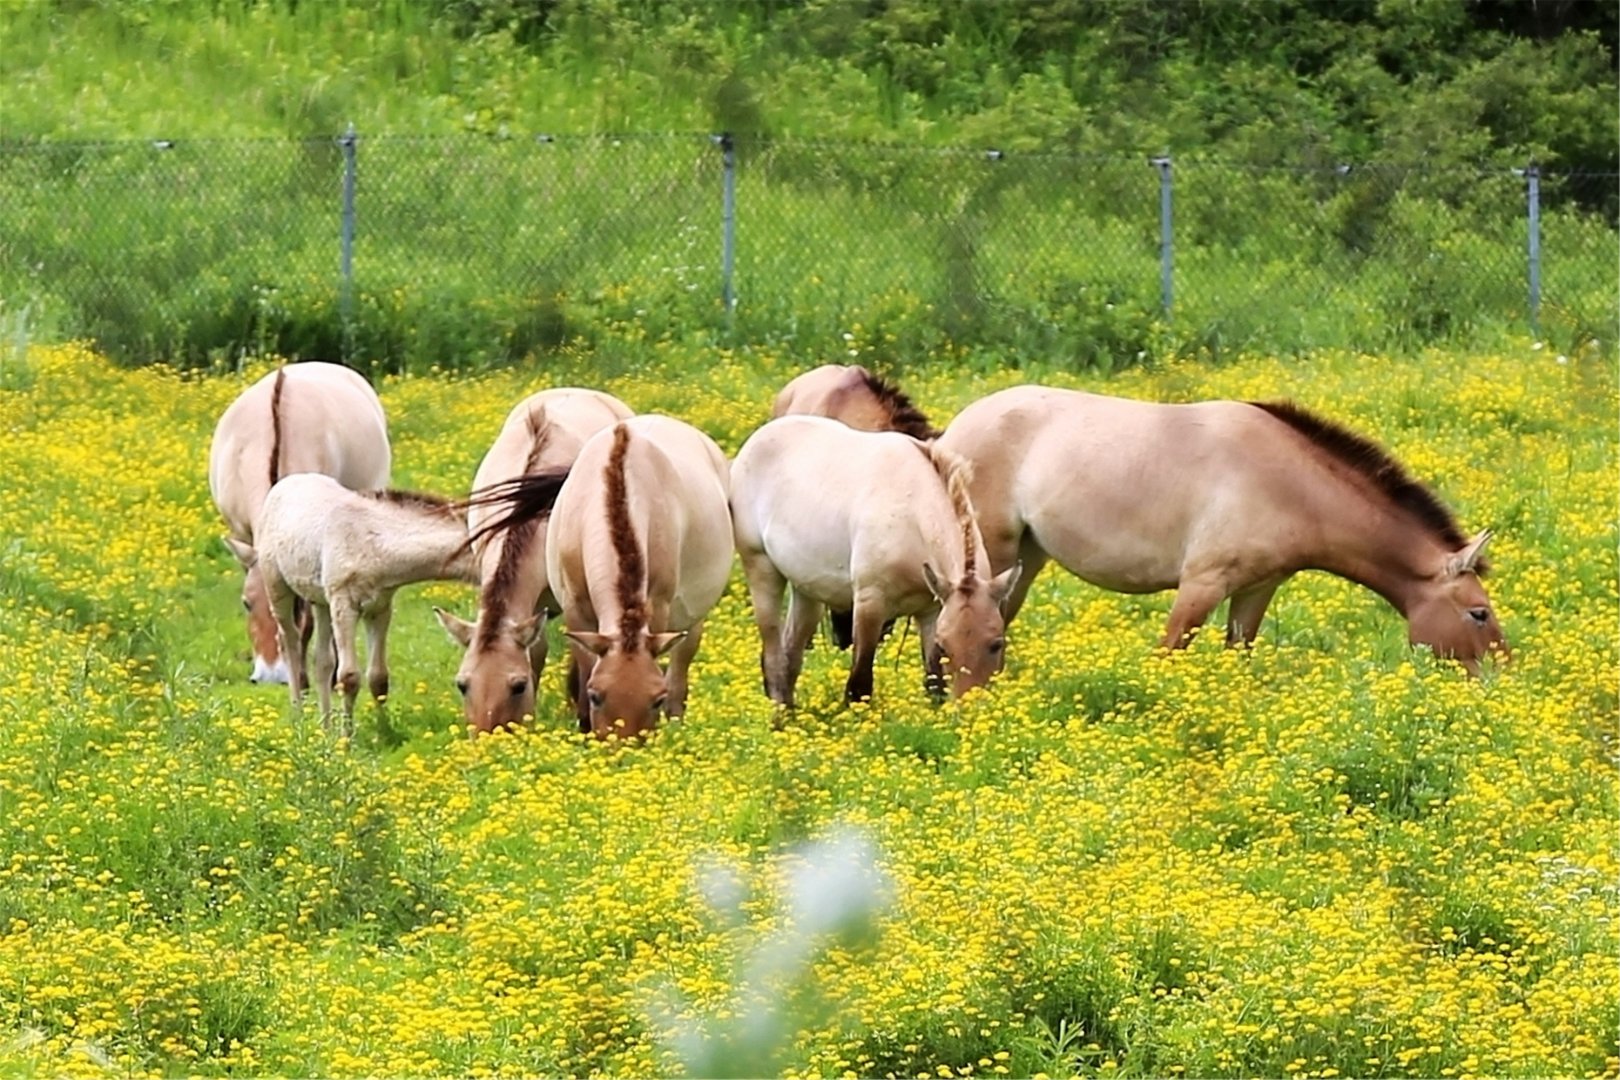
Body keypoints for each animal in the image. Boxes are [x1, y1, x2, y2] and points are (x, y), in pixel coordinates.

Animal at [231, 474, 527, 732]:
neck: (372, 541)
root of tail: (284, 484)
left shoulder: (380, 608)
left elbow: (378, 678)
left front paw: (384, 731)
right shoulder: (344, 604)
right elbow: (349, 677)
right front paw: (346, 741)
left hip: (320, 601)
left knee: (322, 661)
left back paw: (324, 727)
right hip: (278, 588)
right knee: (289, 643)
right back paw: (299, 717)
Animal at [482, 416, 732, 739]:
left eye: (656, 699)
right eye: (595, 696)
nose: (623, 748)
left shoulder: (658, 606)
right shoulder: (576, 609)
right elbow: (587, 666)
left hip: (692, 618)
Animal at [729, 415, 1022, 707]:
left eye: (997, 643)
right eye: (944, 646)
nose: (970, 706)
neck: (911, 512)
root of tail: (755, 442)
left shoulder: (930, 612)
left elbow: (934, 685)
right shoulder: (870, 605)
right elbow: (859, 685)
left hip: (806, 590)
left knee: (791, 658)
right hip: (761, 569)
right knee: (773, 661)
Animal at [934, 385, 1508, 674]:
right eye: (1478, 613)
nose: (1502, 675)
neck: (1286, 482)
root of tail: (951, 432)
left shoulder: (1256, 590)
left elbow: (1239, 658)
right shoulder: (1202, 585)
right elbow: (1169, 654)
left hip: (1025, 559)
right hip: (992, 551)